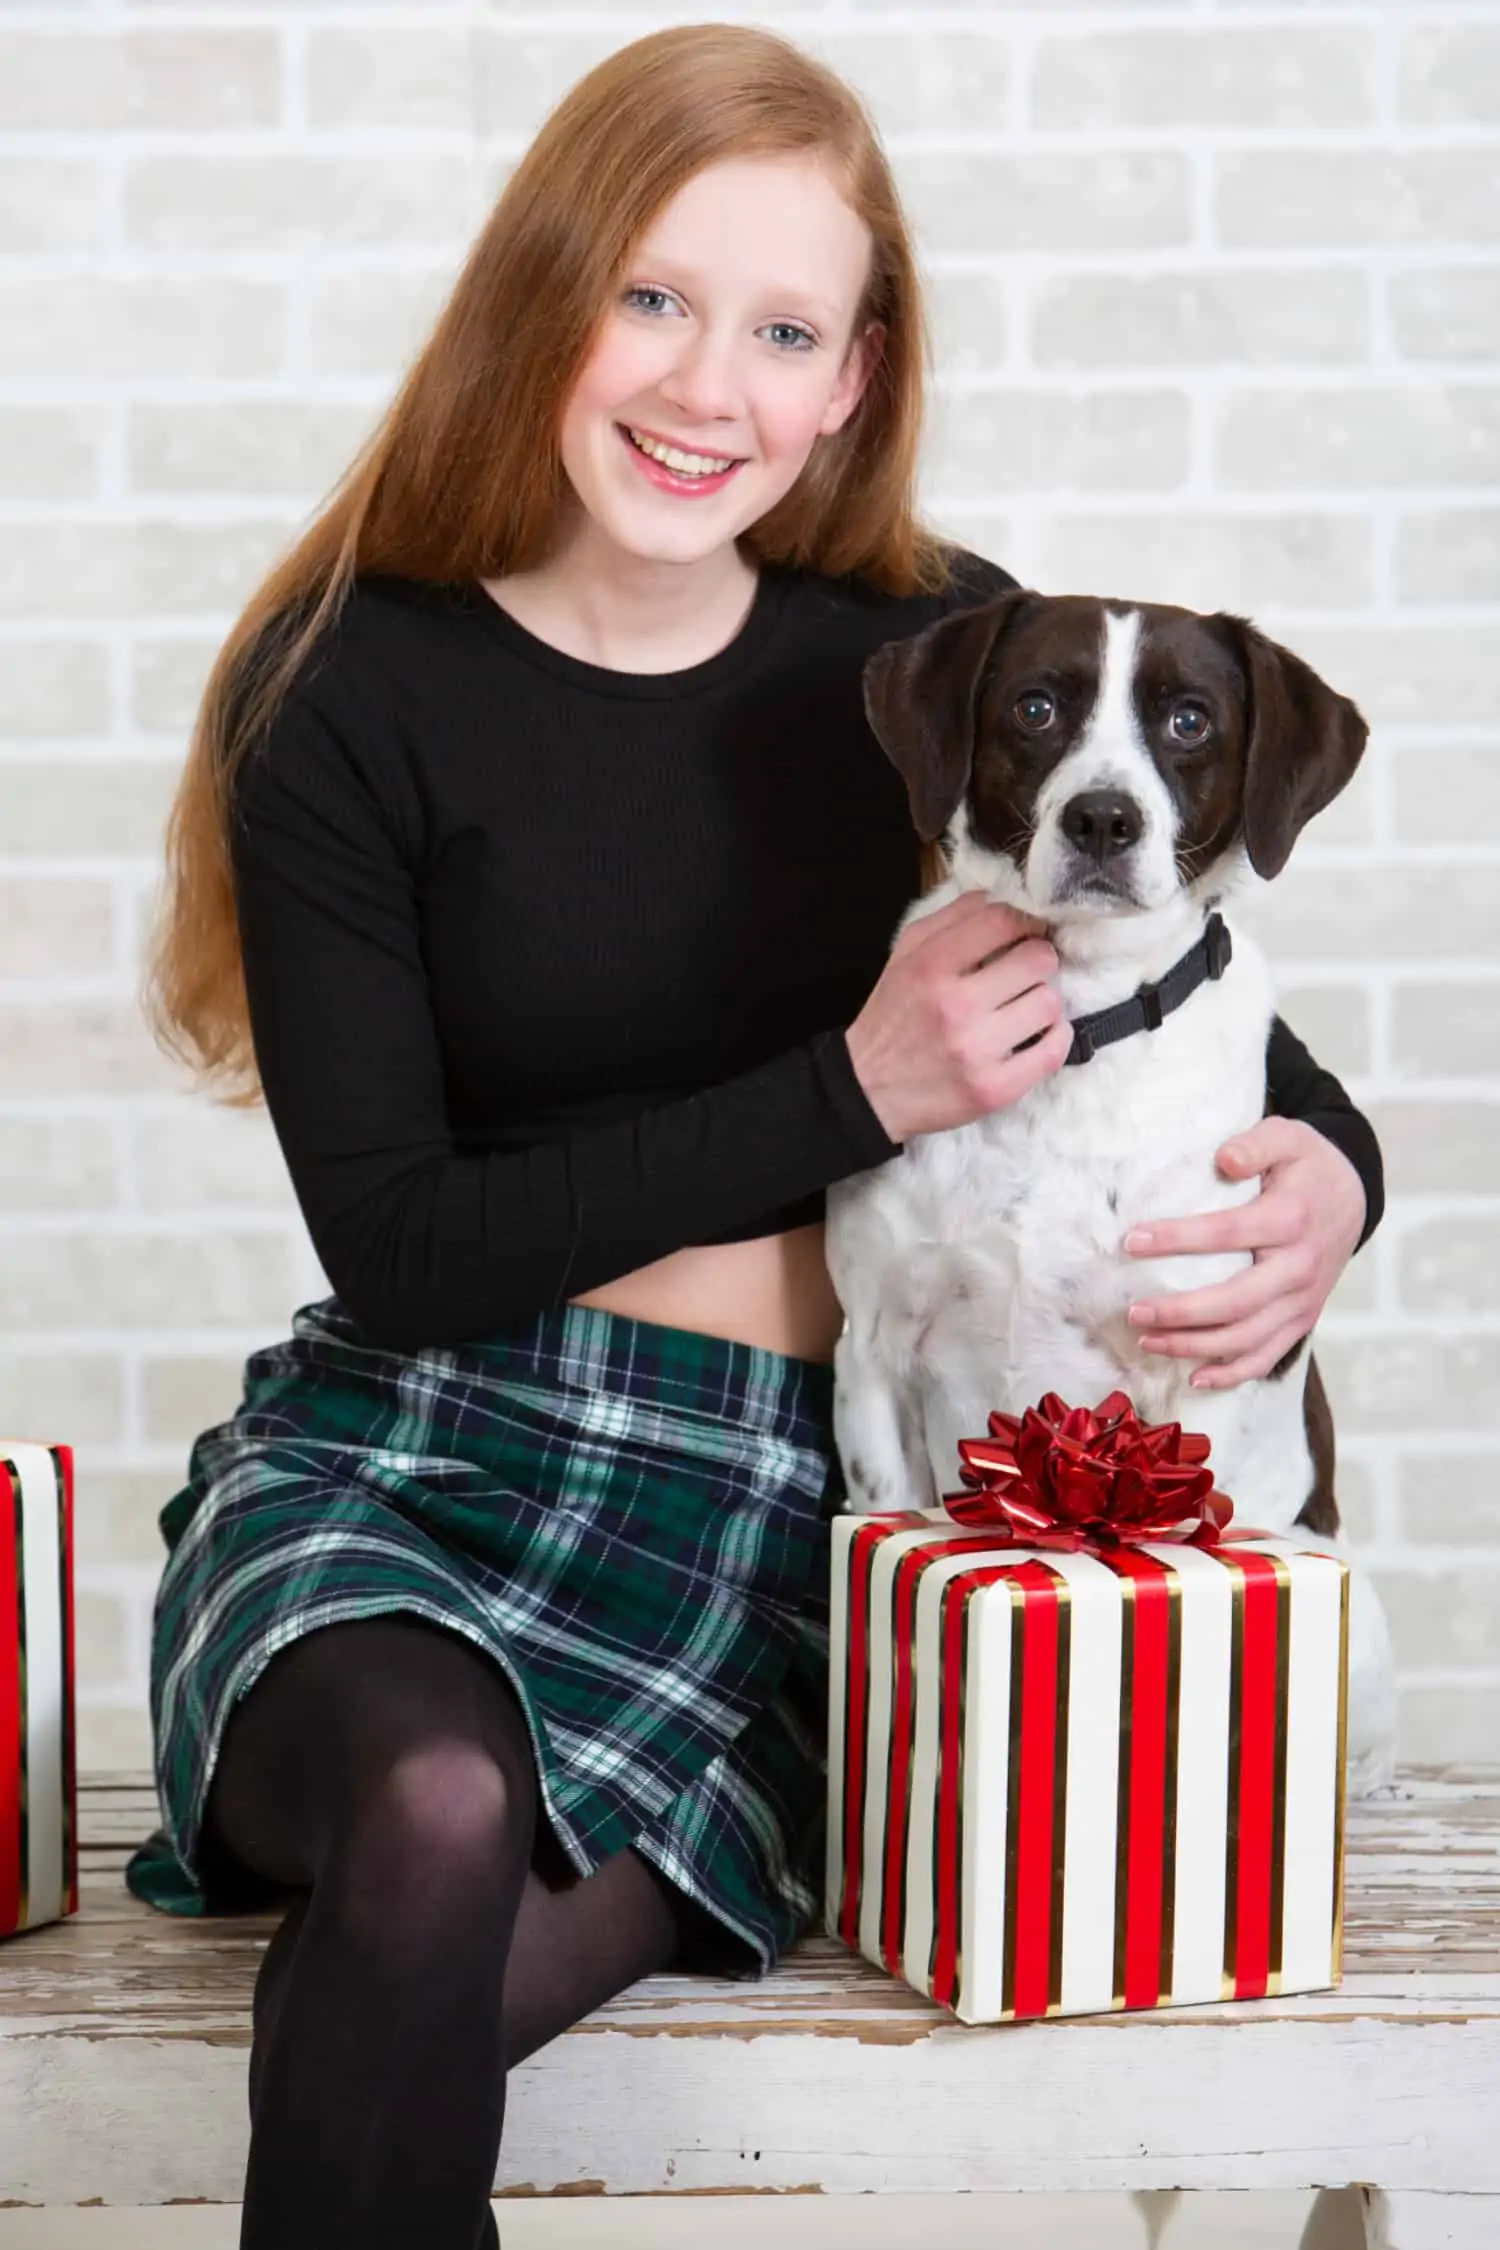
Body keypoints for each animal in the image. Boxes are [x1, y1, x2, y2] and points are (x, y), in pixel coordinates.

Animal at [823, 594, 1394, 1791]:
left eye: (1189, 720)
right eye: (1036, 707)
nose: (1101, 820)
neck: (1078, 1024)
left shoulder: (1197, 1376)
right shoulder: (874, 1357)